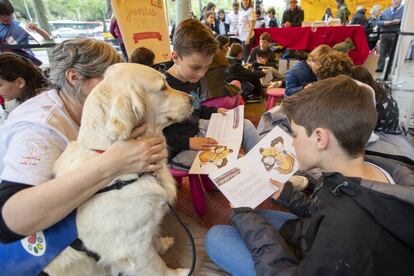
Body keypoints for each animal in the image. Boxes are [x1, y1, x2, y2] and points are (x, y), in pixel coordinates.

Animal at [43, 63, 194, 274]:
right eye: (163, 86)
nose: (192, 99)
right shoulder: (132, 247)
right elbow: (155, 265)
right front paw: (177, 272)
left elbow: (153, 240)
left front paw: (161, 244)